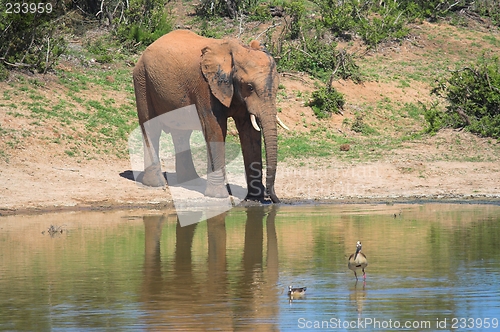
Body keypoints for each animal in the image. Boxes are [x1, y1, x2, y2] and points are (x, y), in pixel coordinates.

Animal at [131, 29, 286, 204]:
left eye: (277, 88)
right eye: (250, 87)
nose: (274, 199)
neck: (234, 51)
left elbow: (250, 133)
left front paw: (254, 198)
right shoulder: (204, 85)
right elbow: (215, 129)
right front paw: (218, 196)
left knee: (181, 133)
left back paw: (191, 181)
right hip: (142, 81)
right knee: (152, 129)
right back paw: (156, 184)